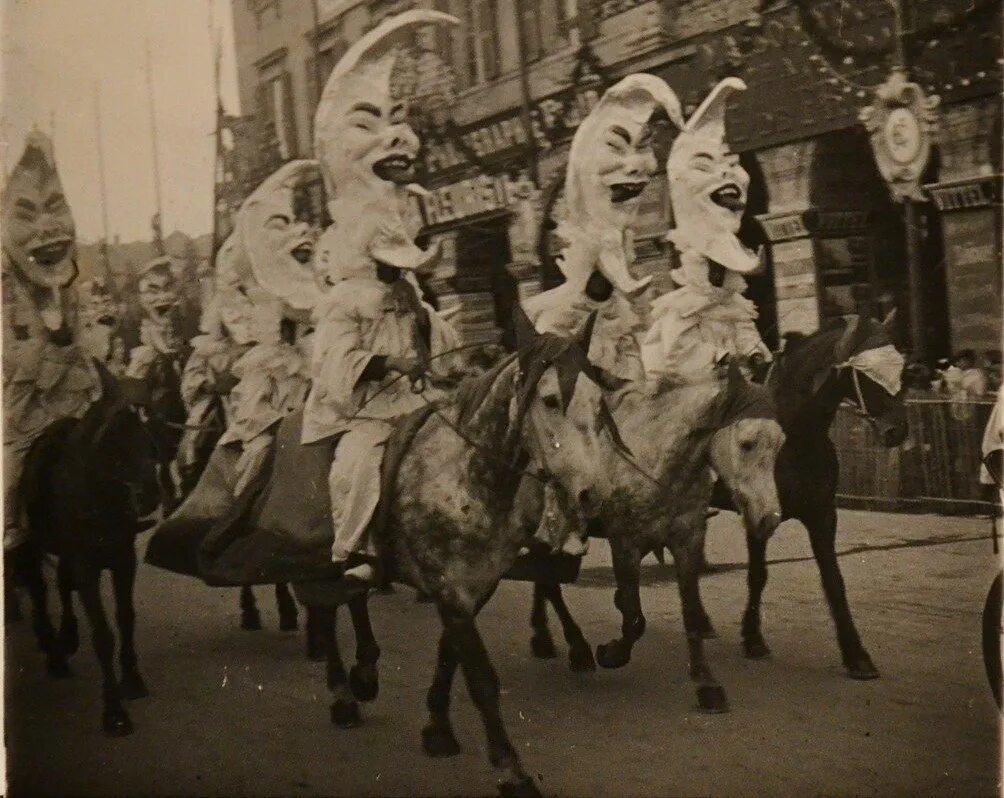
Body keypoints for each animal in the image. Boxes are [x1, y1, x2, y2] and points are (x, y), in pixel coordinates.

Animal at [7, 361, 160, 734]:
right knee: (39, 588)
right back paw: (53, 651)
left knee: (61, 584)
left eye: (152, 421)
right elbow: (103, 633)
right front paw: (114, 711)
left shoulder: (123, 559)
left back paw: (65, 636)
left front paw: (132, 679)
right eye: (116, 431)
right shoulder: (87, 564)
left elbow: (126, 618)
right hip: (31, 545)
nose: (150, 494)